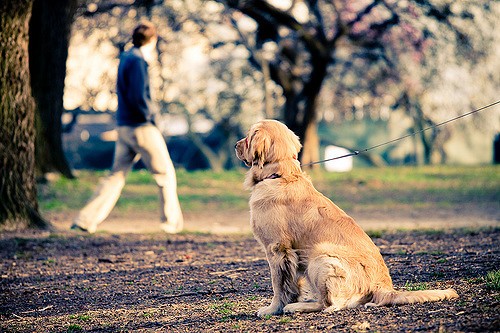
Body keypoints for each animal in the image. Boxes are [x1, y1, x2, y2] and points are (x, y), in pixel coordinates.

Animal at [236, 119, 458, 316]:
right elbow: (292, 285)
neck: (280, 174)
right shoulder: (291, 253)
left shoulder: (277, 248)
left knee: (330, 304)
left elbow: (279, 285)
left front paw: (273, 309)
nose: (235, 145)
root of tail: (384, 287)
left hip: (320, 255)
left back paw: (298, 307)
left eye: (248, 136)